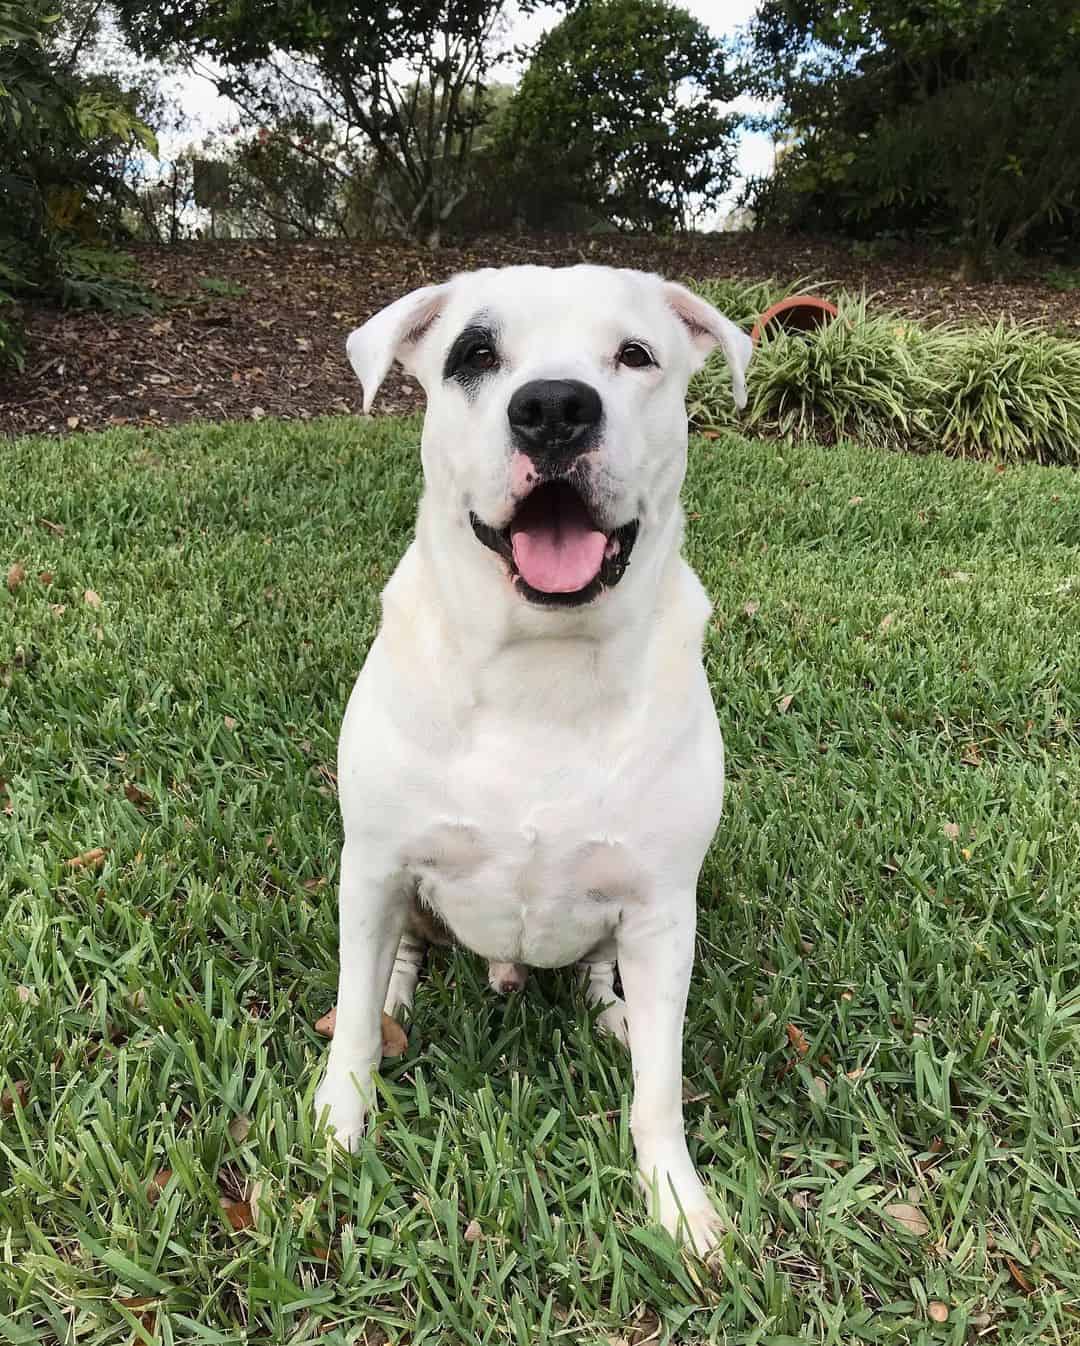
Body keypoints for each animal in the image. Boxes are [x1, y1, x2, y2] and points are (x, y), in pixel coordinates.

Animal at [311, 262, 748, 1249]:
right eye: (475, 355)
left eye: (636, 355)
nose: (553, 409)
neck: (541, 665)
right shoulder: (375, 864)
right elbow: (351, 1022)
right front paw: (336, 1126)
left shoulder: (661, 907)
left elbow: (660, 1091)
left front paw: (675, 1199)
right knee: (394, 961)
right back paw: (395, 999)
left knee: (599, 972)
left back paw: (614, 1012)